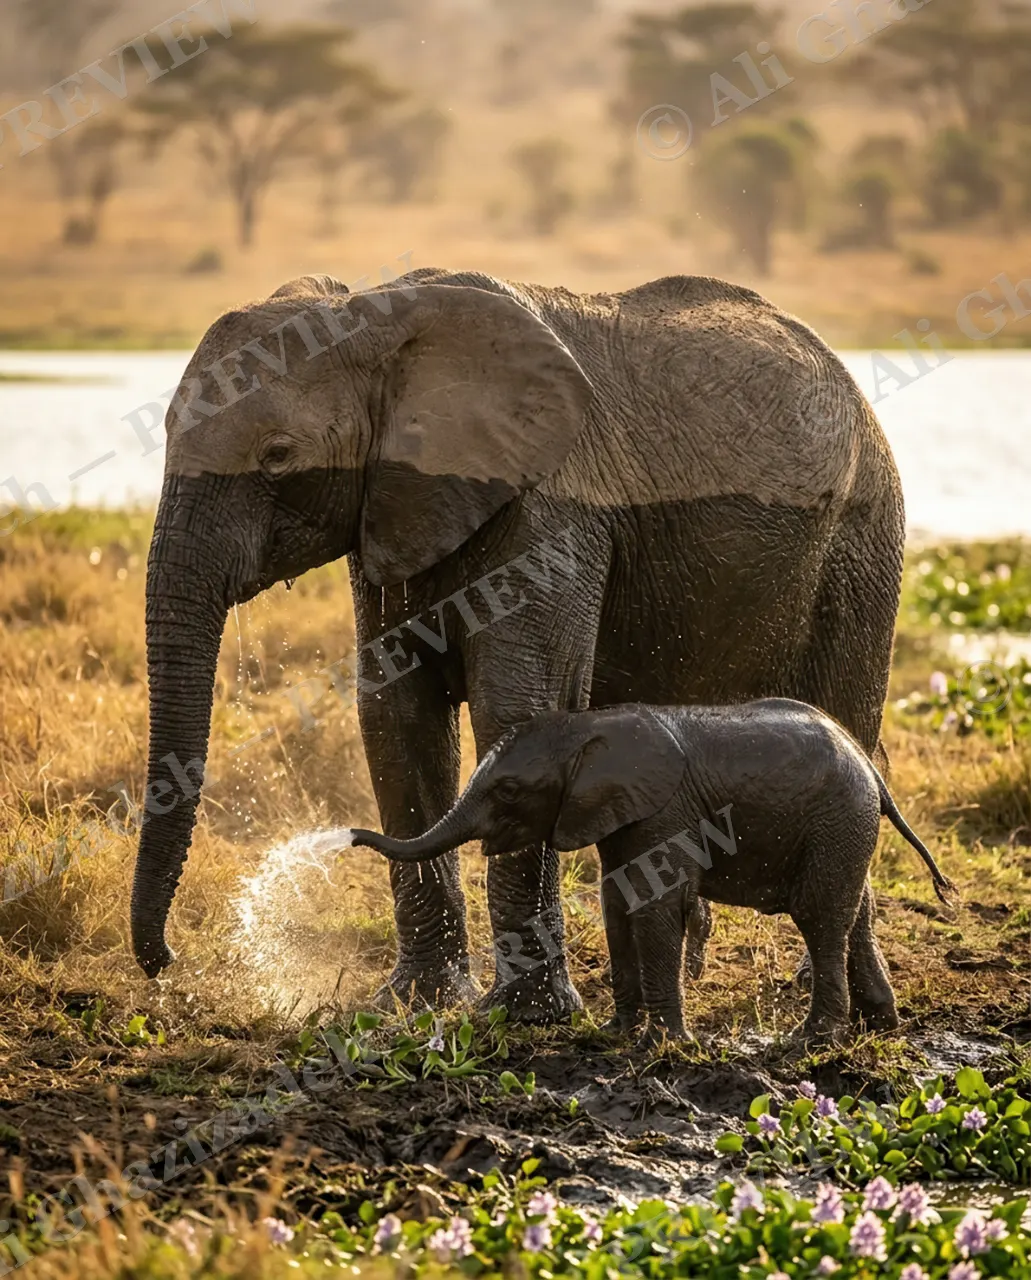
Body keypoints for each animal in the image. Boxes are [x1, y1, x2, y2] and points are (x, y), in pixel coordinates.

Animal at [130, 266, 905, 1026]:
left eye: (277, 456)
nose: (166, 965)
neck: (380, 310)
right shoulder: (393, 507)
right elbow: (395, 715)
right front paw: (420, 1002)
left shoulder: (551, 517)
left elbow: (518, 709)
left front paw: (525, 1016)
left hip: (862, 538)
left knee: (849, 723)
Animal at [350, 699, 954, 1045]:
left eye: (510, 791)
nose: (352, 836)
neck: (585, 730)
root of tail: (870, 767)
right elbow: (616, 907)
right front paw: (615, 1035)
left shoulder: (662, 811)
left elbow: (654, 909)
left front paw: (666, 1046)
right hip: (844, 828)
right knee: (856, 910)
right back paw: (880, 1025)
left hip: (836, 820)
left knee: (821, 918)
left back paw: (814, 1042)